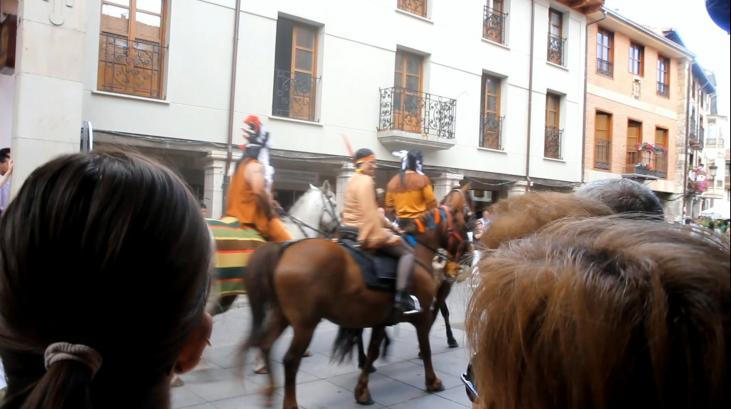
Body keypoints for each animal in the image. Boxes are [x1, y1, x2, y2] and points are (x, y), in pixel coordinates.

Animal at [240, 186, 471, 409]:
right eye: (464, 221)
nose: (468, 254)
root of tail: (284, 251)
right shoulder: (421, 317)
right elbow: (426, 347)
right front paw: (433, 381)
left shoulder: (381, 320)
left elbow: (373, 351)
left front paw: (362, 391)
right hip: (305, 324)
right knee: (290, 360)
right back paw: (289, 403)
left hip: (283, 317)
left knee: (266, 345)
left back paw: (269, 393)